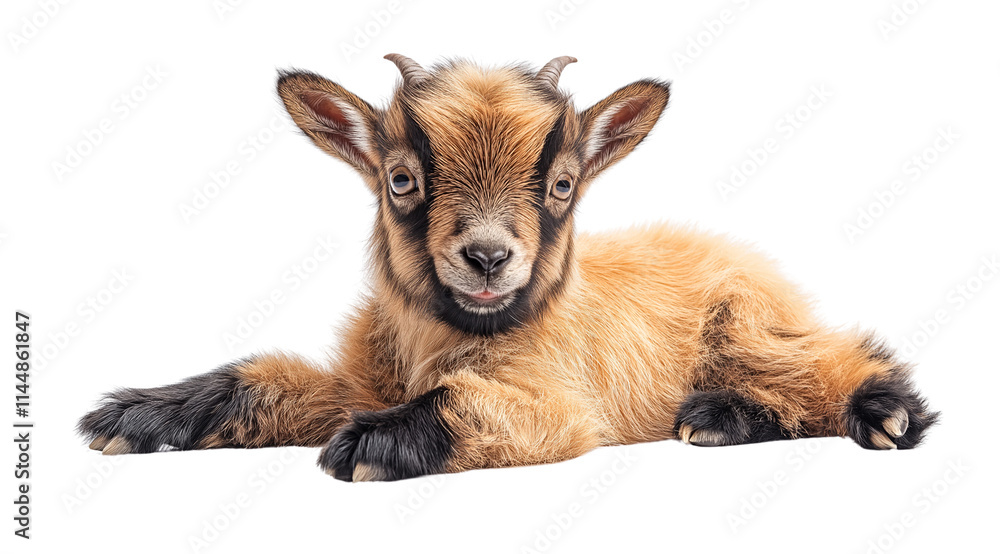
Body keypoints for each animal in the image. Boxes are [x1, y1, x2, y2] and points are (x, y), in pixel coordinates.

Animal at [79, 54, 939, 481]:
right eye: (401, 179)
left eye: (560, 184)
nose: (489, 256)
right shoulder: (358, 382)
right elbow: (265, 379)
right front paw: (138, 418)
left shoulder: (557, 401)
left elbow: (470, 403)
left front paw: (373, 447)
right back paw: (717, 419)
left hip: (747, 326)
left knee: (831, 357)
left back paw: (881, 412)